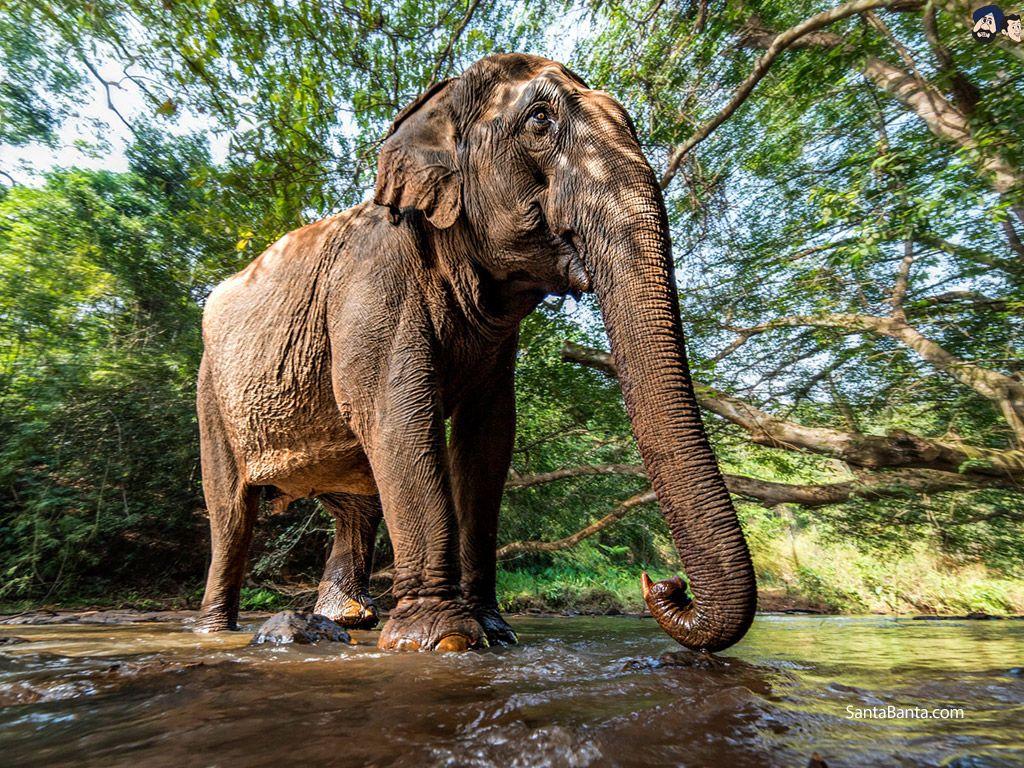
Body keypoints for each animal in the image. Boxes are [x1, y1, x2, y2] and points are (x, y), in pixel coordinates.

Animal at [196, 53, 756, 652]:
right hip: (211, 396)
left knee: (355, 504)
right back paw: (215, 630)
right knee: (230, 511)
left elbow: (487, 436)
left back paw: (345, 620)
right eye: (539, 122)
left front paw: (494, 631)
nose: (665, 584)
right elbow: (393, 416)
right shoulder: (372, 283)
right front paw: (442, 639)